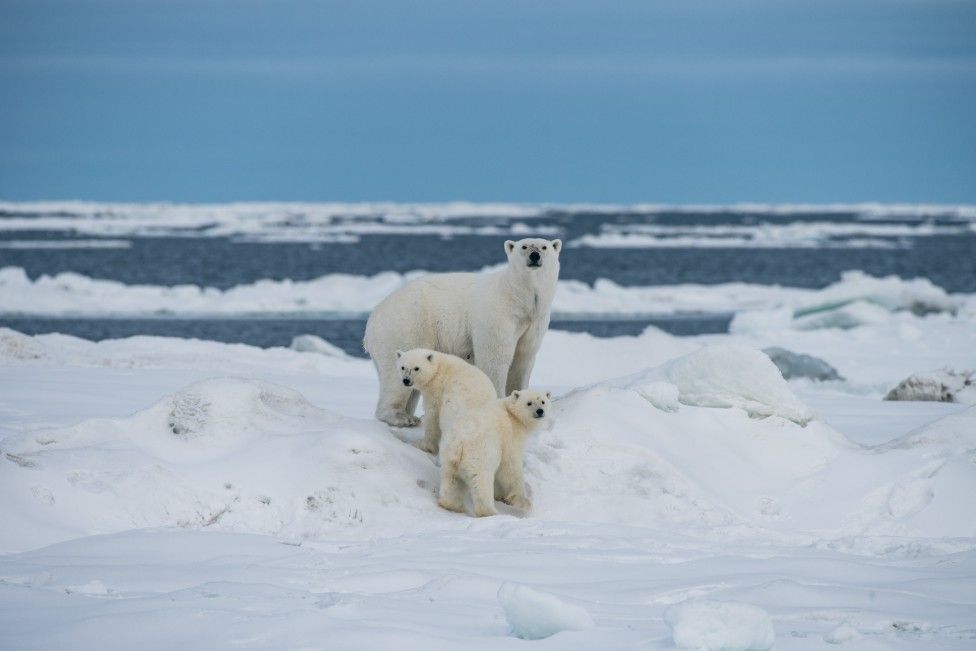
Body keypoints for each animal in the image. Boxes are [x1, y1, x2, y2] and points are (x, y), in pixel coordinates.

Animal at [362, 238, 560, 428]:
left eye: (544, 247)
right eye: (524, 246)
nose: (534, 255)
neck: (517, 298)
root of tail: (373, 318)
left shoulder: (535, 320)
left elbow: (523, 358)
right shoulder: (496, 316)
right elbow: (495, 359)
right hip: (405, 327)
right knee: (396, 377)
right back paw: (402, 417)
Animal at [440, 388, 552, 520]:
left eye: (543, 401)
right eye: (529, 403)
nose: (540, 411)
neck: (512, 415)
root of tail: (458, 441)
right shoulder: (510, 438)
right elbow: (510, 467)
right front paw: (524, 502)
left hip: (448, 456)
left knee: (451, 481)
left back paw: (452, 505)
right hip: (479, 453)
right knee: (482, 481)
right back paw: (490, 512)